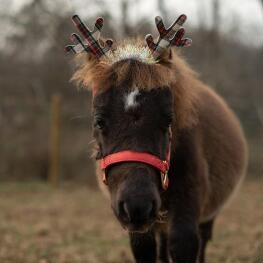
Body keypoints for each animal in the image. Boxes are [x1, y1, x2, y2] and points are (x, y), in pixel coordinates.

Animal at [65, 14, 248, 263]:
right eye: (99, 121)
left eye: (168, 120)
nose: (137, 206)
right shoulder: (140, 228)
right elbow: (146, 249)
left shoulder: (187, 207)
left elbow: (184, 245)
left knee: (203, 239)